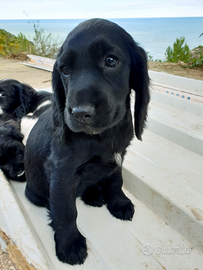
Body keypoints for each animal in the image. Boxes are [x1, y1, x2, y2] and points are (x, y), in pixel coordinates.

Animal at [24, 19, 150, 266]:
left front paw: (118, 202)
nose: (80, 113)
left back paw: (94, 194)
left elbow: (116, 180)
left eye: (111, 60)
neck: (103, 136)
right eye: (65, 70)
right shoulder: (62, 172)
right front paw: (70, 244)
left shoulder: (119, 156)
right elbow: (66, 210)